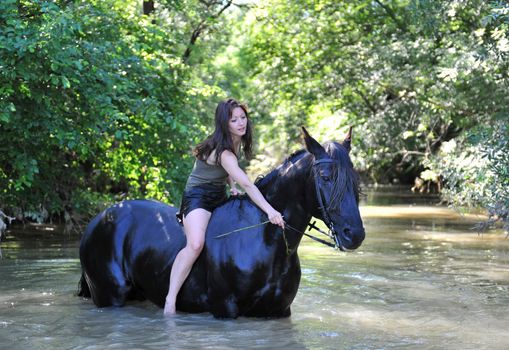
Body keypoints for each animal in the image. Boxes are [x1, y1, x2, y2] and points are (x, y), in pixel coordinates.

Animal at [77, 127, 364, 318]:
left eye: (355, 178)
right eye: (325, 177)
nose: (355, 234)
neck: (266, 240)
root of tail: (98, 220)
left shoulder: (280, 311)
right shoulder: (225, 308)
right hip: (109, 295)